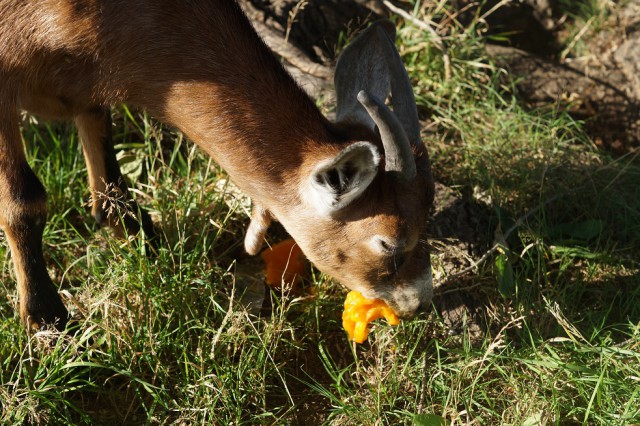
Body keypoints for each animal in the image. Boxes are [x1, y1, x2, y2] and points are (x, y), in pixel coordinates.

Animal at [0, 0, 436, 332]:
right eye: (389, 244)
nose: (421, 301)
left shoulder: (87, 88)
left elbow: (110, 177)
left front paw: (142, 239)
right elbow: (24, 200)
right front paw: (46, 317)